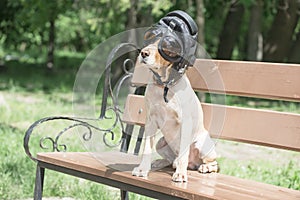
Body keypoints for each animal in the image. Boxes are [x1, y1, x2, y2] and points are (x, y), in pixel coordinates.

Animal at [131, 11, 218, 183]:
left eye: (167, 46)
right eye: (150, 37)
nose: (144, 53)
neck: (164, 86)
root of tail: (193, 164)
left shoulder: (185, 122)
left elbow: (184, 153)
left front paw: (180, 174)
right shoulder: (150, 121)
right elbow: (146, 149)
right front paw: (143, 169)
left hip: (202, 144)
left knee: (213, 163)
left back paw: (203, 167)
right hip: (161, 142)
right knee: (172, 159)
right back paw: (162, 162)